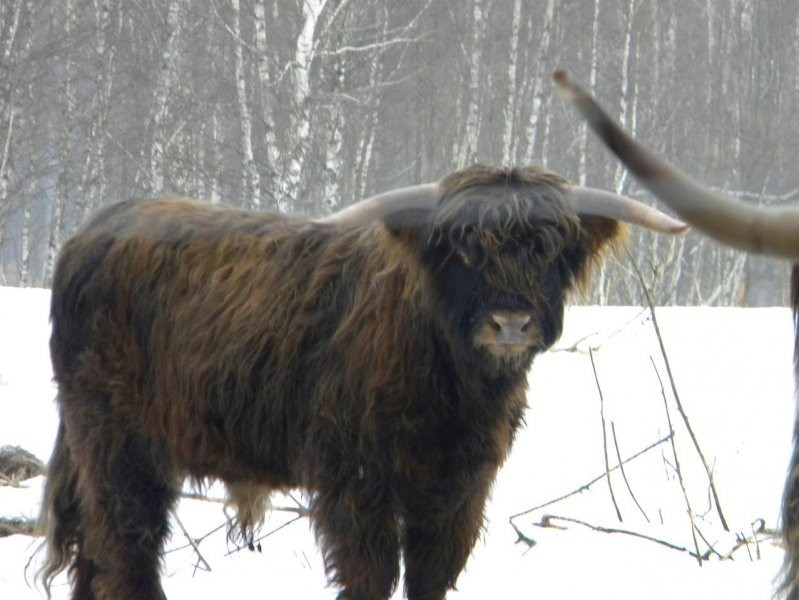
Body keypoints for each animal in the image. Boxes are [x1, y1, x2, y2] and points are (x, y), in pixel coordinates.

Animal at [36, 163, 685, 599]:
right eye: (464, 252)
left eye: (549, 250)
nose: (510, 322)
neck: (453, 389)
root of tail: (93, 230)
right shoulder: (356, 484)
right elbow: (371, 576)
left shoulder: (459, 492)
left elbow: (429, 578)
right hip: (118, 445)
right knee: (127, 548)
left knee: (97, 556)